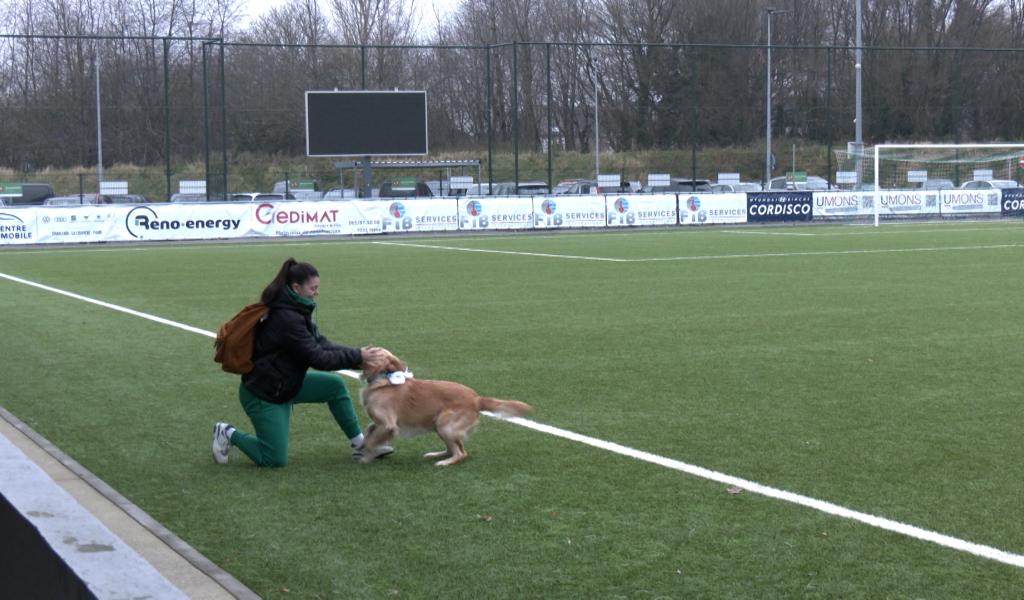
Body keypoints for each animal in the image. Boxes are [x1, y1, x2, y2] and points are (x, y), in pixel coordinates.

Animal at [360, 352, 532, 464]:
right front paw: (363, 446)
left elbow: (372, 441)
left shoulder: (388, 425)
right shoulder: (380, 423)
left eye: (374, 351)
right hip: (440, 426)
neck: (383, 380)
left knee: (461, 453)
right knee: (456, 449)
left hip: (445, 425)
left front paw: (366, 457)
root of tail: (476, 398)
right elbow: (369, 431)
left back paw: (444, 463)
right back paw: (435, 455)